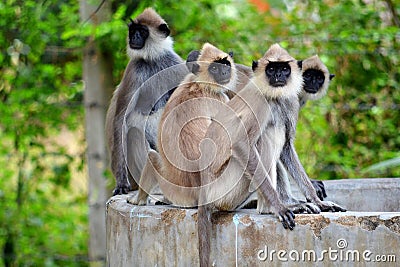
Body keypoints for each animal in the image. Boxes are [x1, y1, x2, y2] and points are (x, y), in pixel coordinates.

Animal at [105, 7, 188, 196]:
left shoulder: (172, 62)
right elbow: (120, 120)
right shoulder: (134, 70)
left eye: (142, 31)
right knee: (134, 134)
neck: (152, 60)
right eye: (133, 30)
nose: (134, 37)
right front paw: (121, 183)